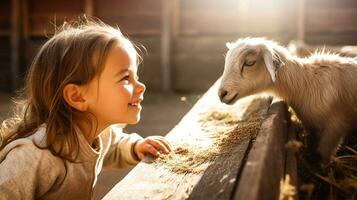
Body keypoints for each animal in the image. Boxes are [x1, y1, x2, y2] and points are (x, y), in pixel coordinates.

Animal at [217, 37, 356, 162]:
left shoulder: (334, 128)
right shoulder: (312, 127)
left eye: (249, 63)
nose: (221, 94)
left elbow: (322, 158)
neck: (305, 84)